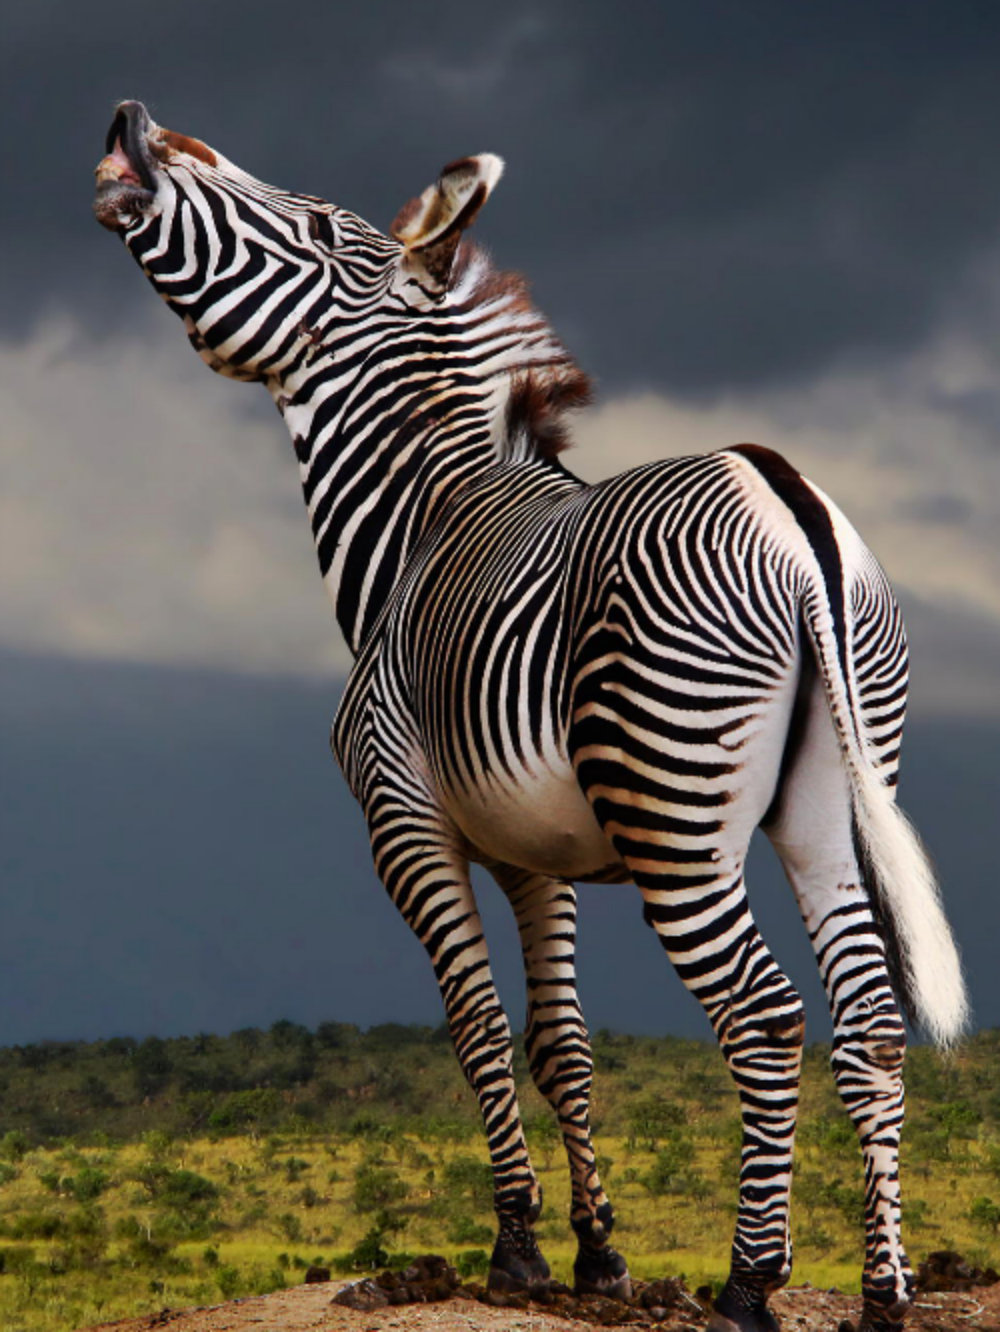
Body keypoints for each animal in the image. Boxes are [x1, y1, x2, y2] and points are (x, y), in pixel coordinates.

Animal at [94, 100, 967, 1332]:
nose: (135, 123)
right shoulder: (531, 853)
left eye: (316, 225)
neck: (418, 527)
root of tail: (786, 501)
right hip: (832, 801)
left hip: (674, 812)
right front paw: (598, 1255)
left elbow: (475, 1030)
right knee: (871, 1027)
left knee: (763, 1017)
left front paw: (517, 1252)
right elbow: (562, 1043)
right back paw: (886, 1289)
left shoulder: (406, 825)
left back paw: (750, 1284)